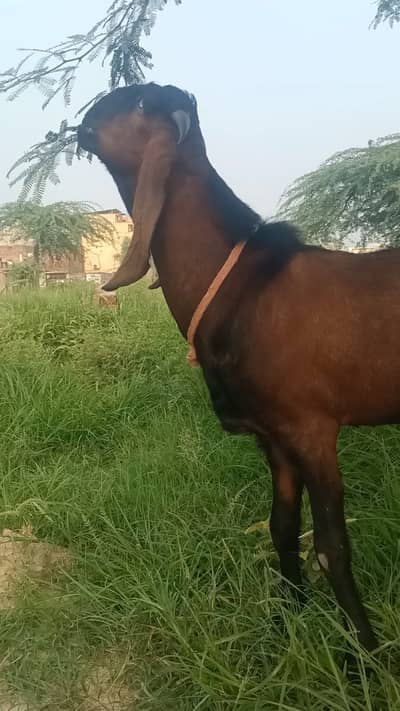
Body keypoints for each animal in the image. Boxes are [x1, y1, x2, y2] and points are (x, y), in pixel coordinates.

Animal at [77, 81, 400, 653]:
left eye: (134, 101)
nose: (78, 125)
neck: (242, 285)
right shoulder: (273, 438)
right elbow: (282, 529)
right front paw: (285, 627)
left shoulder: (313, 430)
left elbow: (332, 547)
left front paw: (365, 654)